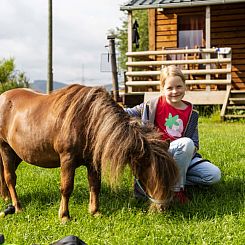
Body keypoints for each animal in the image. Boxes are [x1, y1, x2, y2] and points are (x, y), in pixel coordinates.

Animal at [0, 84, 177, 222]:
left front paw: (95, 211)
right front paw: (64, 216)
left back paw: (5, 197)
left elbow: (95, 185)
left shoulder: (93, 162)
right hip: (5, 148)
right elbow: (66, 187)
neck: (88, 121)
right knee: (10, 178)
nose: (163, 208)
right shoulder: (67, 159)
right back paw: (17, 206)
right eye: (149, 172)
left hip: (17, 154)